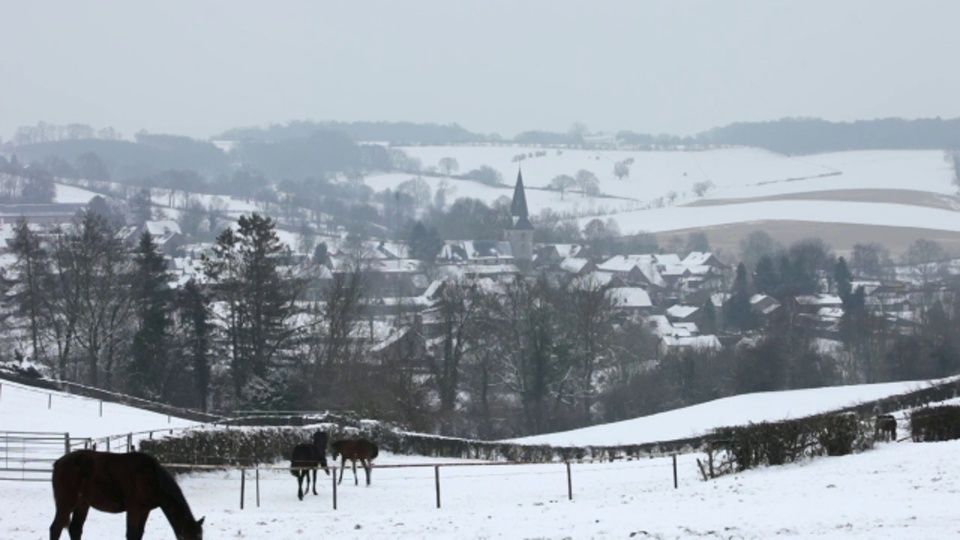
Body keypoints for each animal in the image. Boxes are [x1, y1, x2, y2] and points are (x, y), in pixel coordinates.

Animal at [49, 450, 203, 540]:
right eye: (190, 538)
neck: (152, 478)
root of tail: (58, 463)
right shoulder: (133, 510)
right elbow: (131, 534)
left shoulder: (144, 511)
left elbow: (139, 534)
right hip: (67, 502)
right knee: (56, 529)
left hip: (82, 504)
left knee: (75, 529)